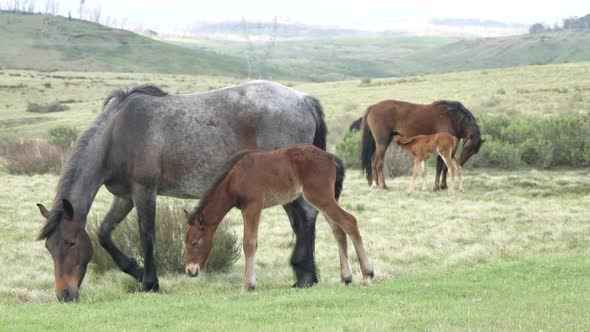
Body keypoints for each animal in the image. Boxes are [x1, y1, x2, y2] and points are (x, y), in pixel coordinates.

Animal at [35, 81, 328, 302]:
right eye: (49, 247)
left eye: (70, 243)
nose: (64, 294)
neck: (117, 135)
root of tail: (303, 99)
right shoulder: (125, 196)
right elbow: (104, 234)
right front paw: (136, 270)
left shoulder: (144, 191)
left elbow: (147, 236)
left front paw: (150, 283)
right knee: (301, 219)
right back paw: (304, 274)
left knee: (306, 216)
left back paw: (305, 276)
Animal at [185, 144, 374, 292]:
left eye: (195, 243)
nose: (189, 270)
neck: (235, 178)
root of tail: (331, 158)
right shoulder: (247, 209)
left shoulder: (253, 207)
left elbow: (249, 243)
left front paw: (247, 285)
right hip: (325, 199)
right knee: (338, 230)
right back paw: (346, 277)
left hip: (319, 197)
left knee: (349, 222)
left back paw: (367, 275)